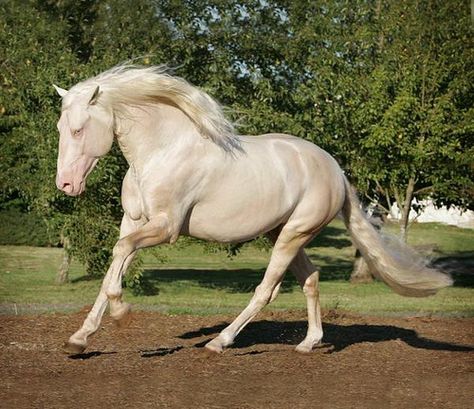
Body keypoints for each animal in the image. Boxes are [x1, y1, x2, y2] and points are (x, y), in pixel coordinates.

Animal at [53, 65, 454, 352]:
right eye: (59, 127)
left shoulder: (165, 228)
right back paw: (308, 343)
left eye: (78, 129)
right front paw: (79, 339)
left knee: (267, 289)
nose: (66, 185)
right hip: (285, 233)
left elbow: (119, 258)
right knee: (310, 278)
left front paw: (122, 314)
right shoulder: (133, 222)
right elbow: (113, 266)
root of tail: (335, 169)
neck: (163, 152)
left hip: (293, 235)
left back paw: (220, 342)